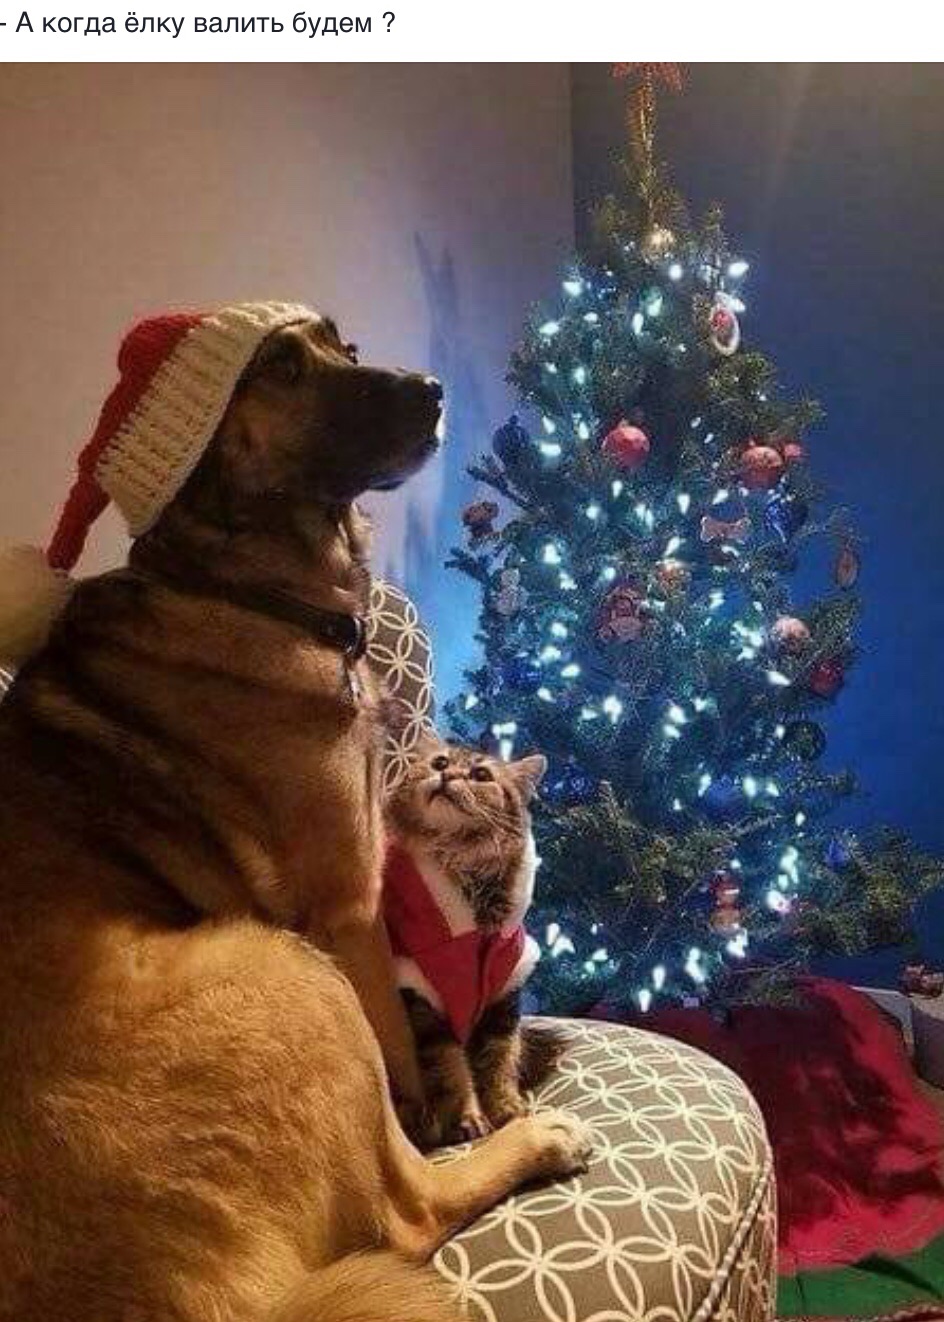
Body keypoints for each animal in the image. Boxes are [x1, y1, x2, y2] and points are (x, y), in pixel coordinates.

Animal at [383, 737, 547, 1146]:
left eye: (481, 774)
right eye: (440, 762)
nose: (448, 775)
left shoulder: (504, 998)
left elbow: (500, 1061)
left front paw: (508, 1108)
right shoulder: (425, 1002)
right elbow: (452, 1068)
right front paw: (468, 1117)